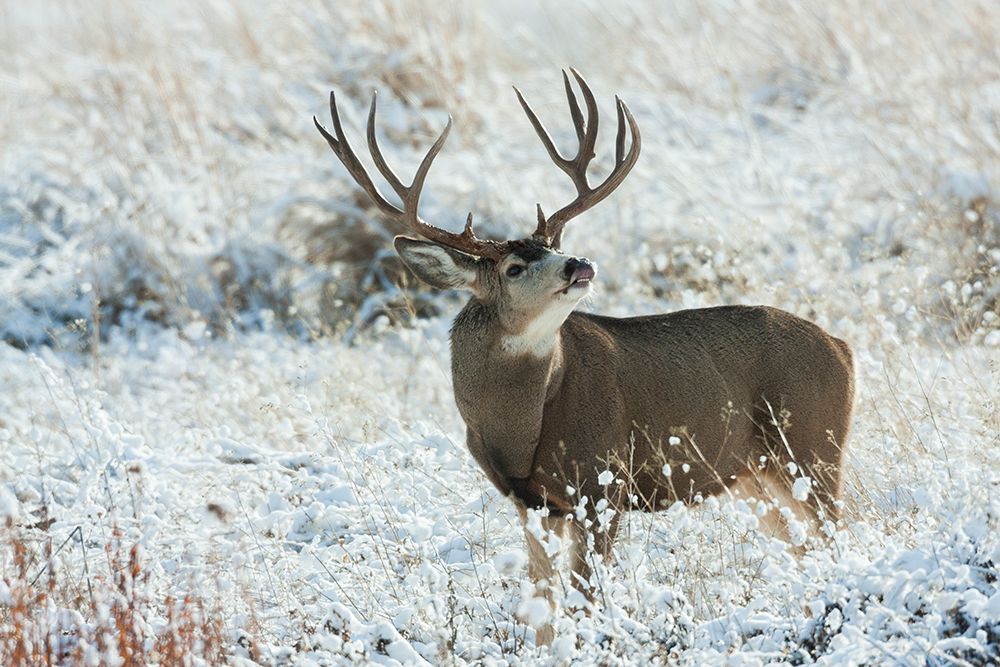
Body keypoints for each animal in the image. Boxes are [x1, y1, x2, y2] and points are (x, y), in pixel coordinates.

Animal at [314, 69, 855, 641]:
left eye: (553, 247)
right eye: (513, 267)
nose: (579, 263)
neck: (521, 428)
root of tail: (842, 348)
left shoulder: (603, 483)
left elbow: (583, 600)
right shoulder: (530, 502)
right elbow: (541, 603)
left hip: (811, 446)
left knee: (836, 535)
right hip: (754, 476)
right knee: (803, 546)